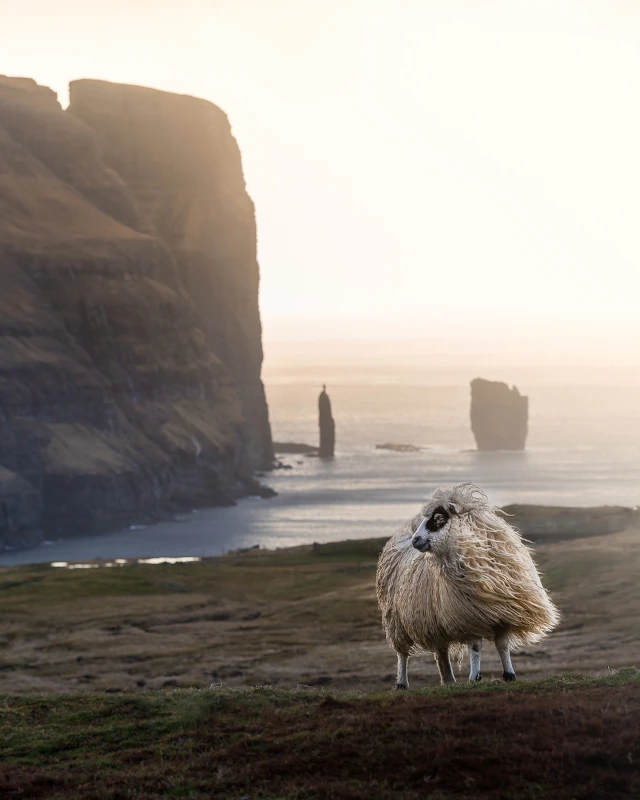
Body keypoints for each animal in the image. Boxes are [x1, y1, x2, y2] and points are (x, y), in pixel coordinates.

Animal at [376, 482, 560, 688]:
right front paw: (475, 676)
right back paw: (402, 682)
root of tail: (403, 533)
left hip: (433, 620)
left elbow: (503, 645)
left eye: (439, 518)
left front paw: (509, 674)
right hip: (395, 620)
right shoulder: (468, 615)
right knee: (402, 653)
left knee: (441, 652)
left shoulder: (503, 614)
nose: (416, 540)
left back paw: (449, 680)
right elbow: (475, 647)